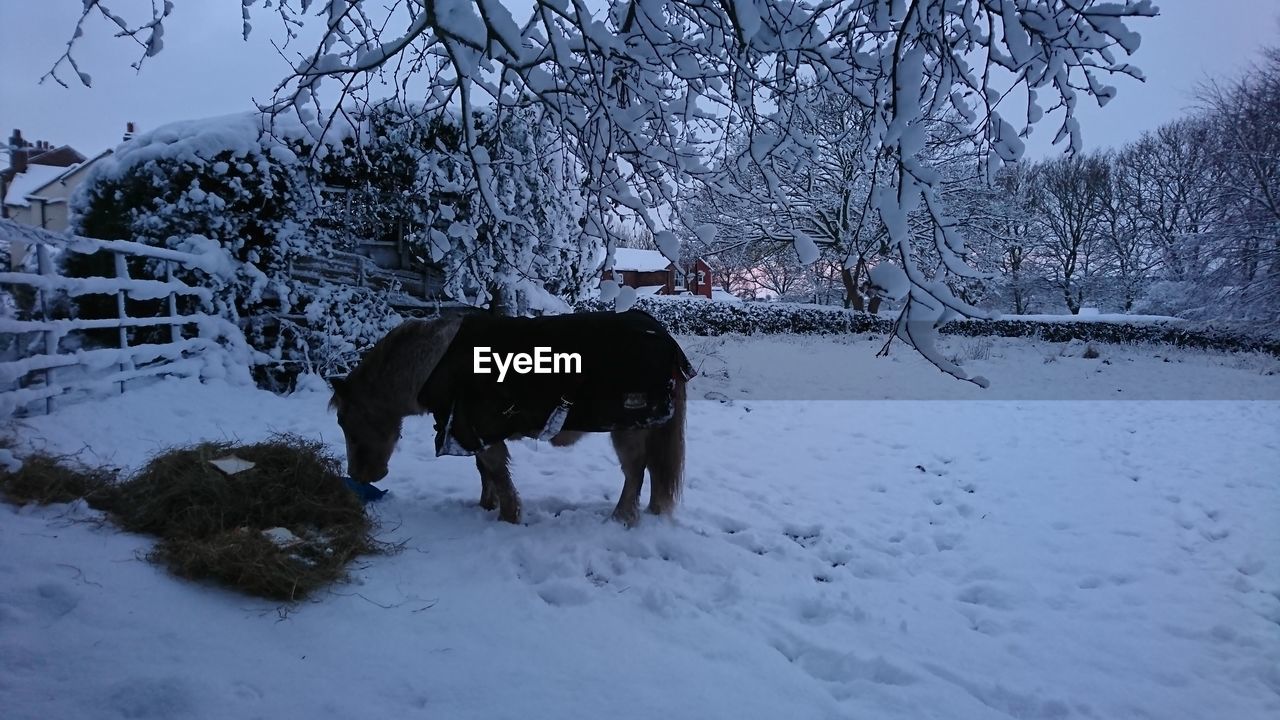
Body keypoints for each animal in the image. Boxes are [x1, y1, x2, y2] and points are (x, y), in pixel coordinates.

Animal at [325, 307, 696, 520]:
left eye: (346, 422)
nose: (359, 476)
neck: (434, 365)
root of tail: (663, 335)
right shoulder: (475, 432)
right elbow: (485, 472)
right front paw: (485, 506)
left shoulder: (479, 430)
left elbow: (498, 475)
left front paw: (508, 516)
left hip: (629, 427)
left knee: (635, 472)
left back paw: (622, 517)